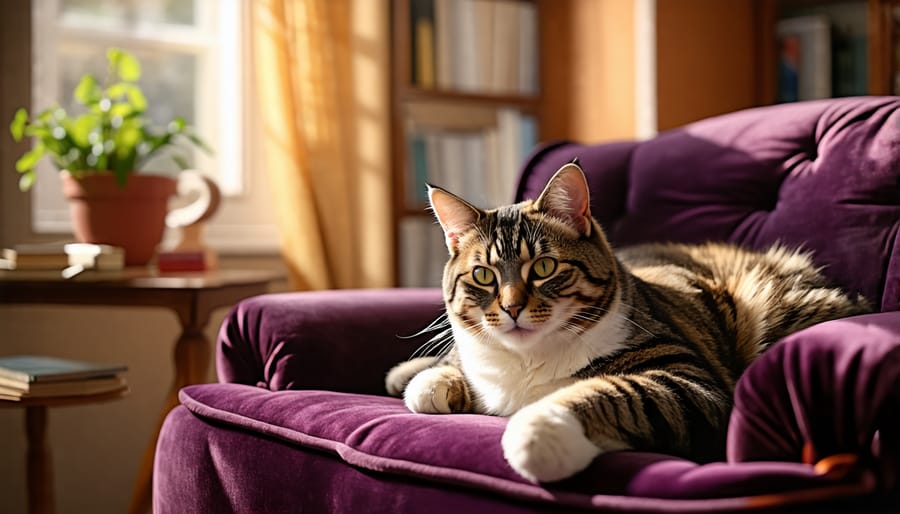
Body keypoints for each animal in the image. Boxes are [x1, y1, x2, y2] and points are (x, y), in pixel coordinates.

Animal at [384, 162, 868, 482]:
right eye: (484, 275)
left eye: (543, 267)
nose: (511, 307)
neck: (528, 362)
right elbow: (440, 377)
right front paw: (431, 380)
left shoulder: (689, 380)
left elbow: (613, 392)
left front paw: (537, 431)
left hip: (772, 301)